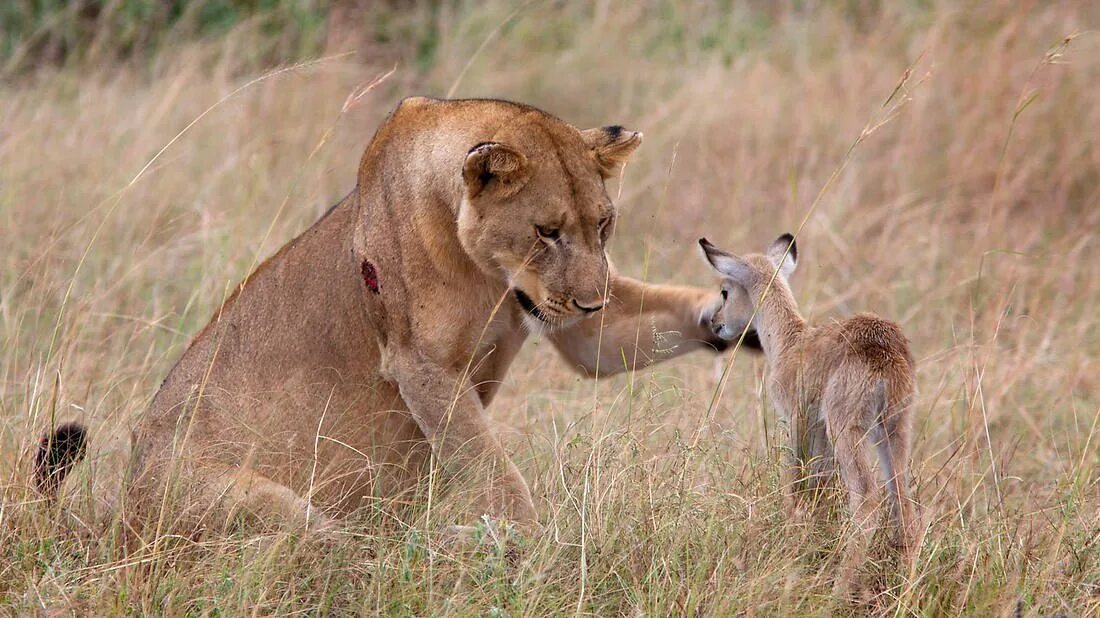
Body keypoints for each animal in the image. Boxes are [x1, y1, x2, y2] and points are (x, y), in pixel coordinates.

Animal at [695, 234, 919, 563]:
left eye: (725, 291)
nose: (714, 322)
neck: (790, 341)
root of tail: (885, 351)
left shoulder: (798, 420)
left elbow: (797, 483)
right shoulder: (820, 431)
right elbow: (819, 489)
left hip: (848, 431)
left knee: (866, 499)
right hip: (894, 429)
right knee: (904, 504)